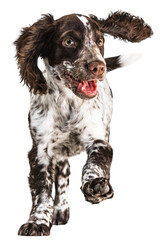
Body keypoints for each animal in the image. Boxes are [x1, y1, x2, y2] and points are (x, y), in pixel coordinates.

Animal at [14, 11, 152, 236]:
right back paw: (60, 210)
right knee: (63, 176)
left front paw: (95, 185)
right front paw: (37, 221)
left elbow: (95, 163)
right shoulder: (40, 151)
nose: (99, 66)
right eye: (68, 41)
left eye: (100, 41)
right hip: (59, 154)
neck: (68, 103)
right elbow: (42, 189)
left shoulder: (99, 140)